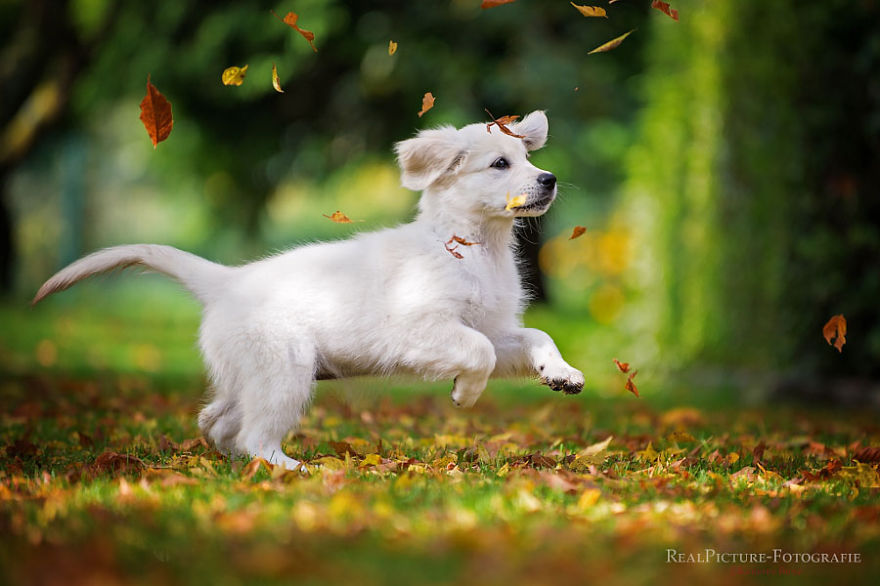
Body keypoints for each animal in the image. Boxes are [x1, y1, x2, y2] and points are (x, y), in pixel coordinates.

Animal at [32, 109, 584, 468]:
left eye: (526, 158)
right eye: (499, 164)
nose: (551, 178)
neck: (478, 249)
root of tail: (226, 281)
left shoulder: (494, 325)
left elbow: (535, 337)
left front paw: (561, 374)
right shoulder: (420, 328)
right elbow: (478, 355)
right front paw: (465, 395)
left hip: (252, 376)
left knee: (216, 421)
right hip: (284, 372)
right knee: (255, 437)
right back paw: (295, 470)